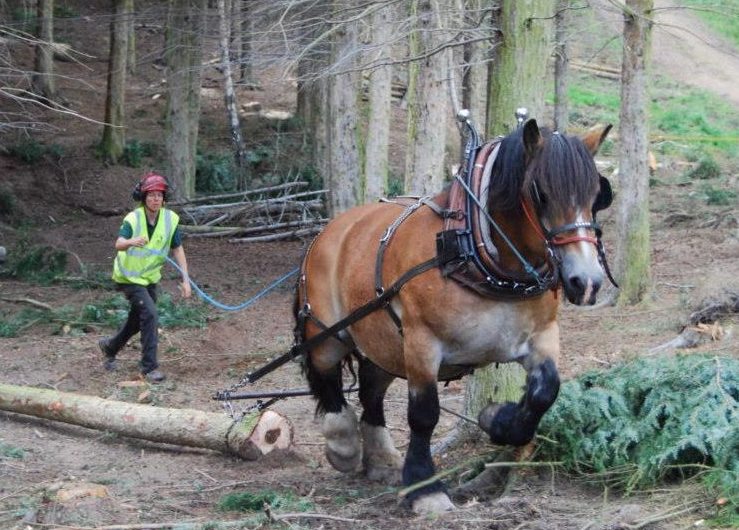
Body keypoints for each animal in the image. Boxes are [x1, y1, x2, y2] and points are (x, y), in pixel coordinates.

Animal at [294, 119, 612, 512]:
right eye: (541, 193)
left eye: (597, 195)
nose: (587, 281)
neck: (470, 249)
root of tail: (329, 231)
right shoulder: (422, 343)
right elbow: (424, 414)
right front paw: (425, 486)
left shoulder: (542, 335)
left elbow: (545, 391)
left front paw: (497, 419)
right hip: (329, 333)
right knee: (327, 379)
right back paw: (344, 445)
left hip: (384, 344)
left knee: (371, 390)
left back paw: (380, 459)